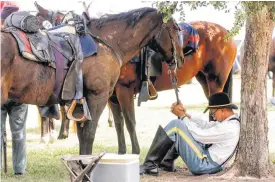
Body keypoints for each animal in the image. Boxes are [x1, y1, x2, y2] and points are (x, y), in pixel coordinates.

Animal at [1, 8, 185, 155]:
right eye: (176, 29)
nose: (181, 58)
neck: (107, 43)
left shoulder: (82, 103)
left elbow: (83, 136)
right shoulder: (99, 96)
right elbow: (90, 134)